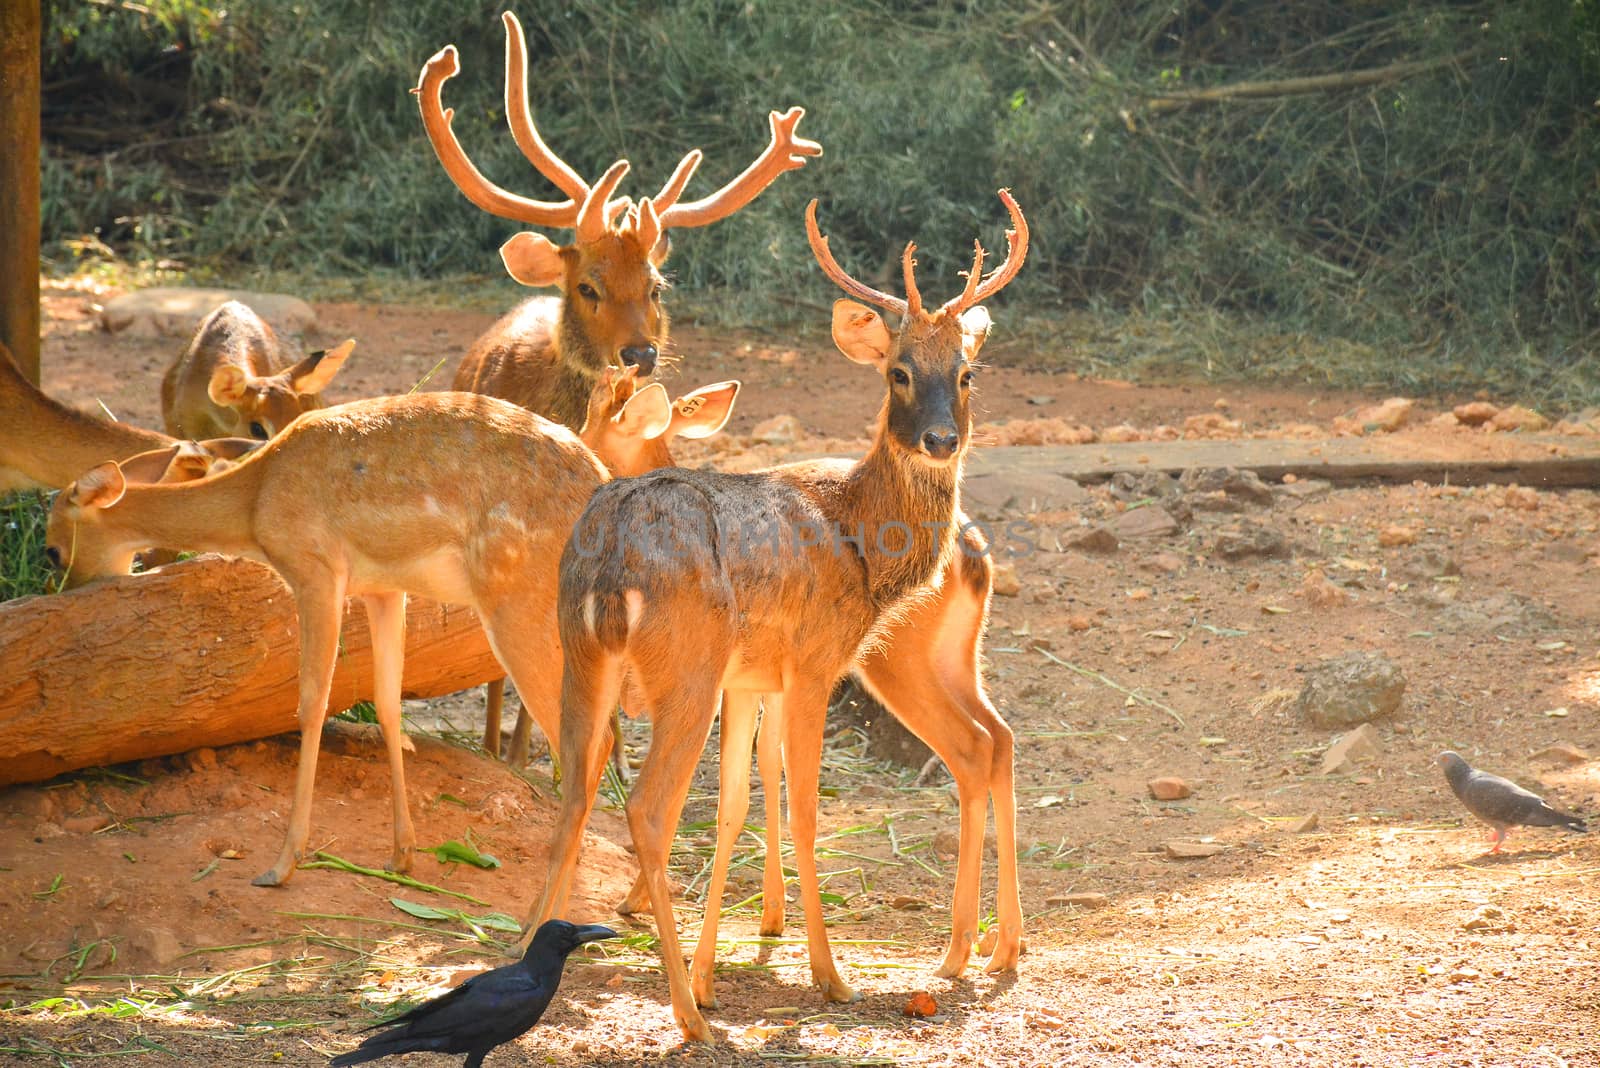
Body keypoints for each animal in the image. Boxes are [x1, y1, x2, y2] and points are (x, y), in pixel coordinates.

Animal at [45, 375, 736, 895]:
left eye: (53, 545)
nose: (67, 585)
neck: (254, 504)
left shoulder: (315, 570)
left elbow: (312, 703)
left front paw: (281, 864)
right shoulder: (383, 588)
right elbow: (386, 703)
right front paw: (402, 855)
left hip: (518, 607)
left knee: (587, 746)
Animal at [524, 191, 1024, 1042]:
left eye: (967, 372)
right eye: (897, 371)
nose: (940, 438)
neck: (859, 537)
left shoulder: (752, 679)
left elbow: (736, 805)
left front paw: (724, 968)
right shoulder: (813, 664)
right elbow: (803, 809)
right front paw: (827, 976)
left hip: (584, 659)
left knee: (575, 794)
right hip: (693, 669)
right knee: (649, 811)